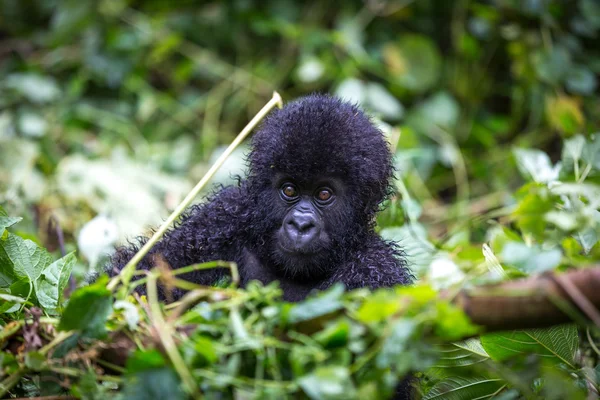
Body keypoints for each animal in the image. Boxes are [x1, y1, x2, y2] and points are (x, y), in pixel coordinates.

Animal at [109, 93, 412, 300]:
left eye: (324, 194)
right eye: (289, 190)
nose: (300, 225)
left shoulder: (377, 271)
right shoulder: (221, 217)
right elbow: (140, 275)